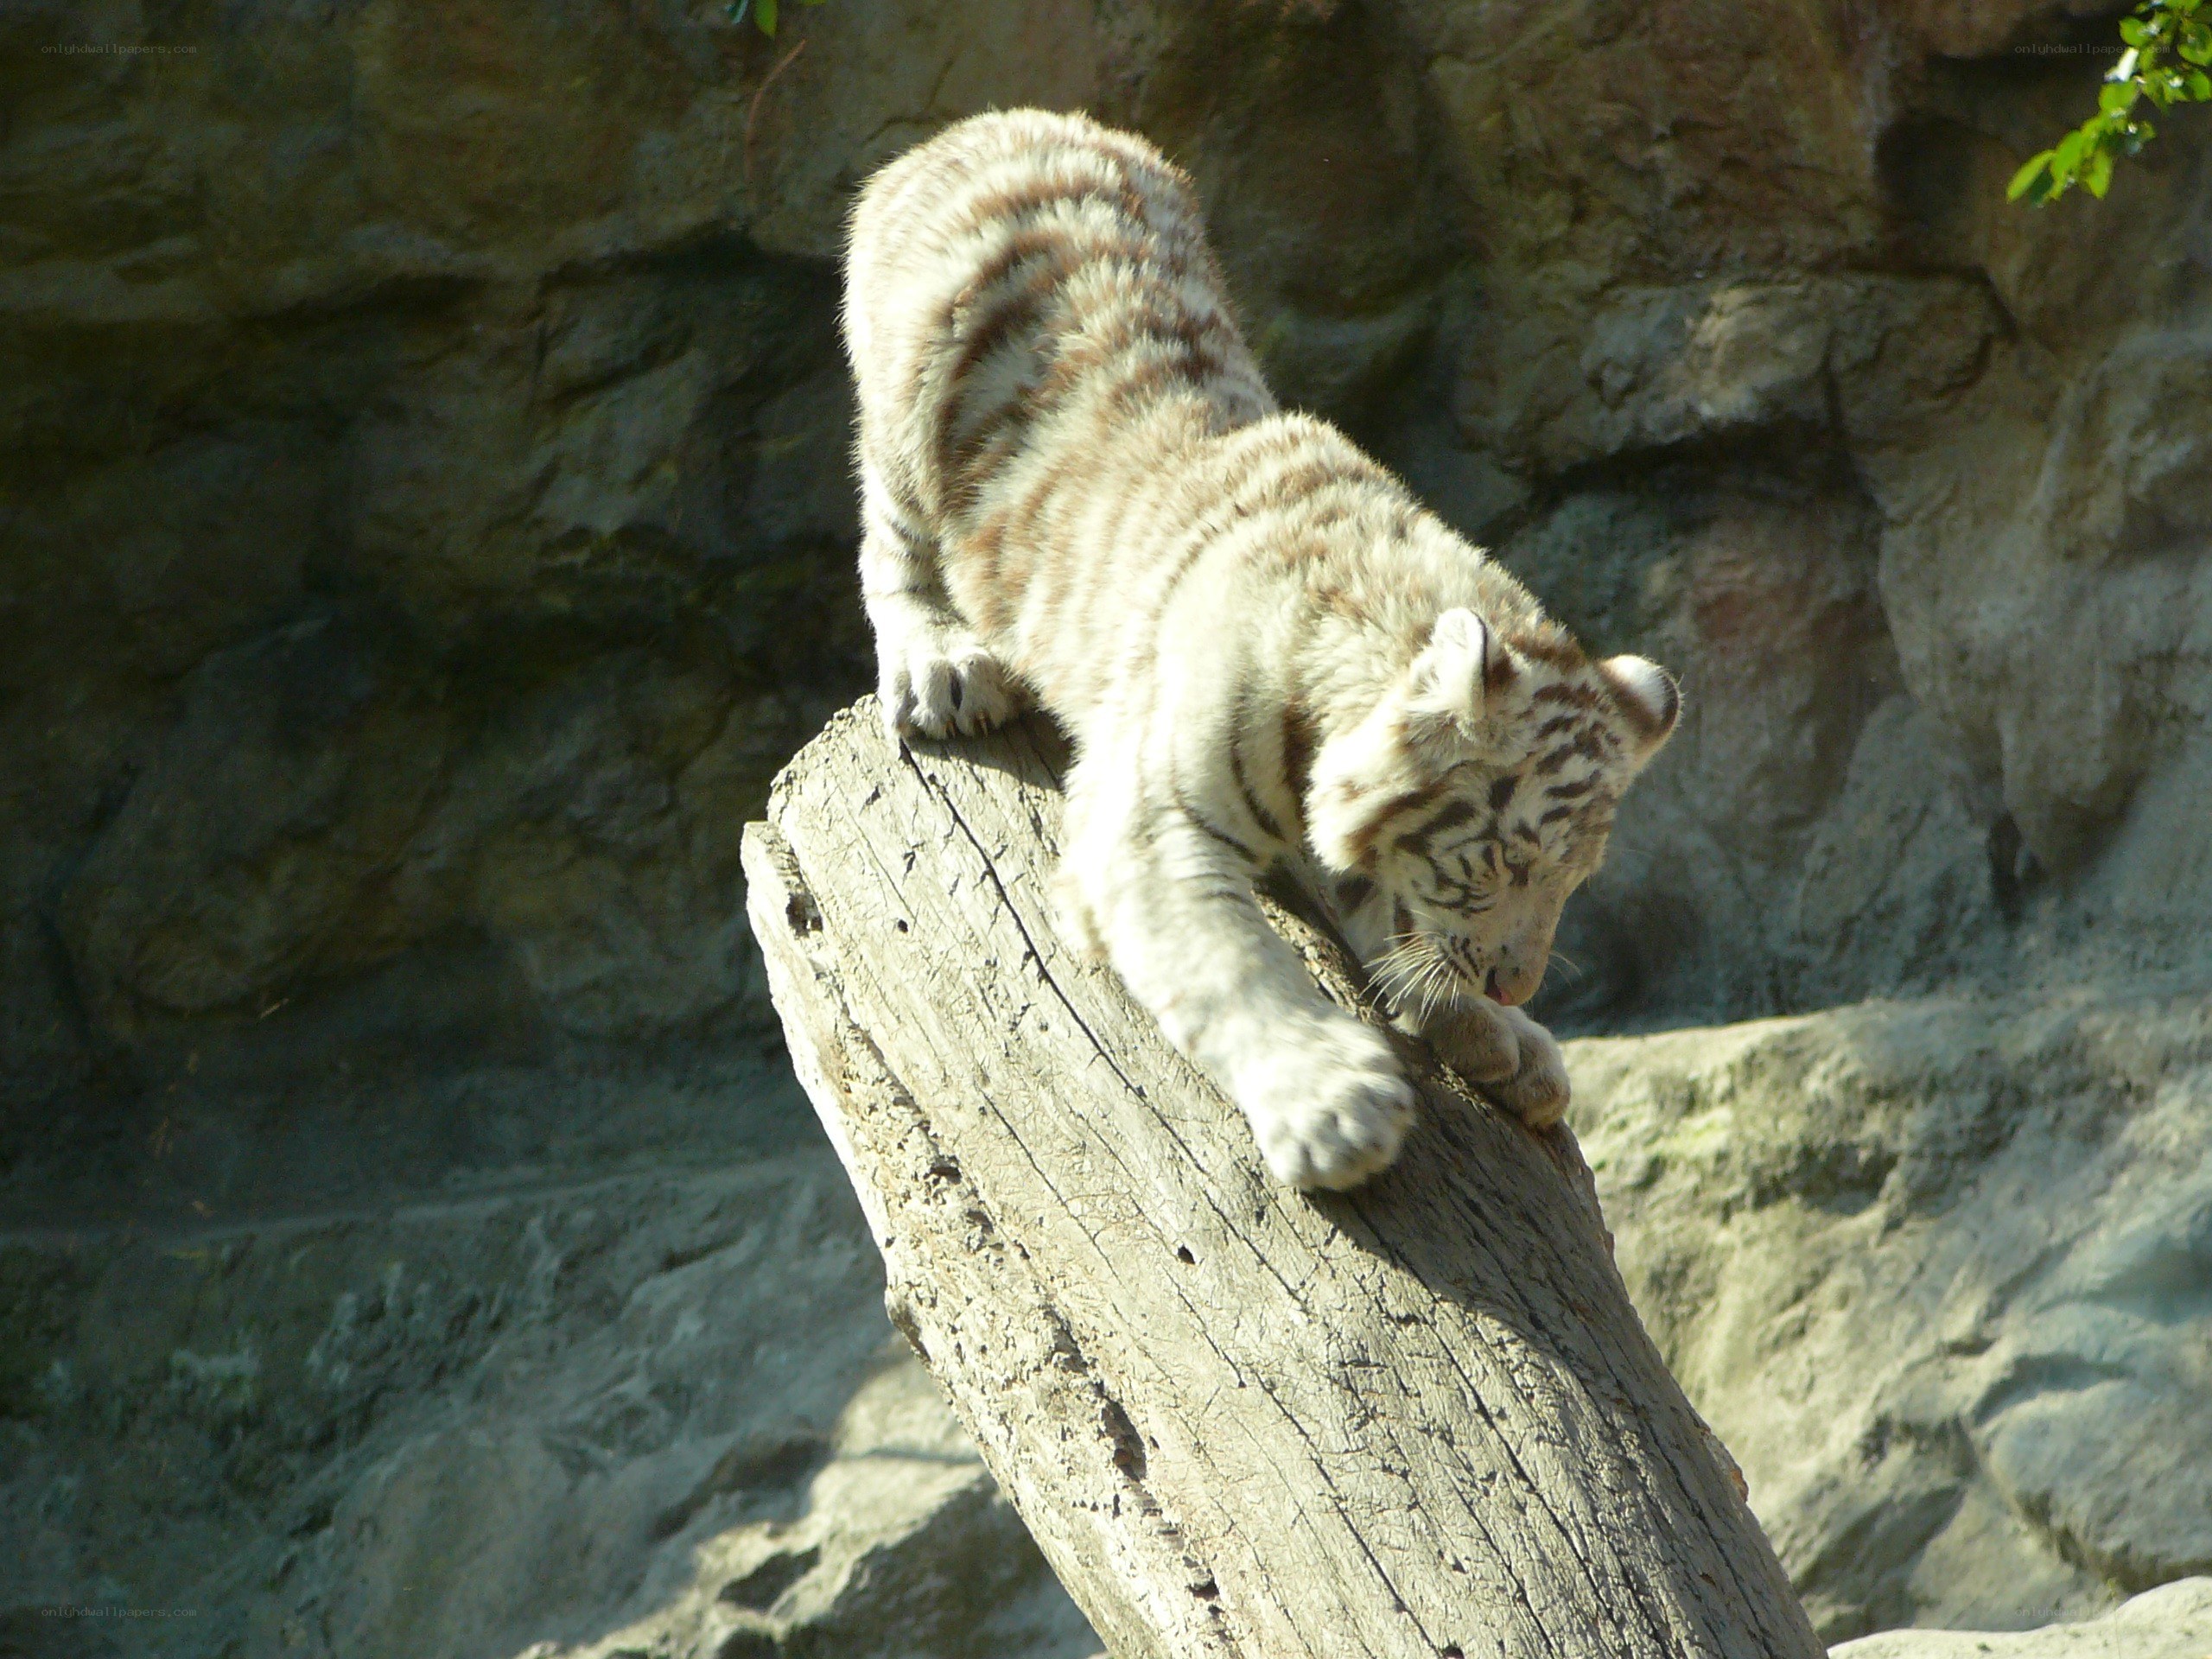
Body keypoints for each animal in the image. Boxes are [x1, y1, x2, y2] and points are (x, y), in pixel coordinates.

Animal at [841, 109, 1678, 1190]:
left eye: (1576, 879)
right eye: (1501, 862)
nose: (1515, 981)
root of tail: (994, 120)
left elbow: (1391, 921)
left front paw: (1505, 1045)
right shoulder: (1147, 817)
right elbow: (1227, 963)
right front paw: (1335, 1110)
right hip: (907, 412)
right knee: (888, 541)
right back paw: (940, 666)